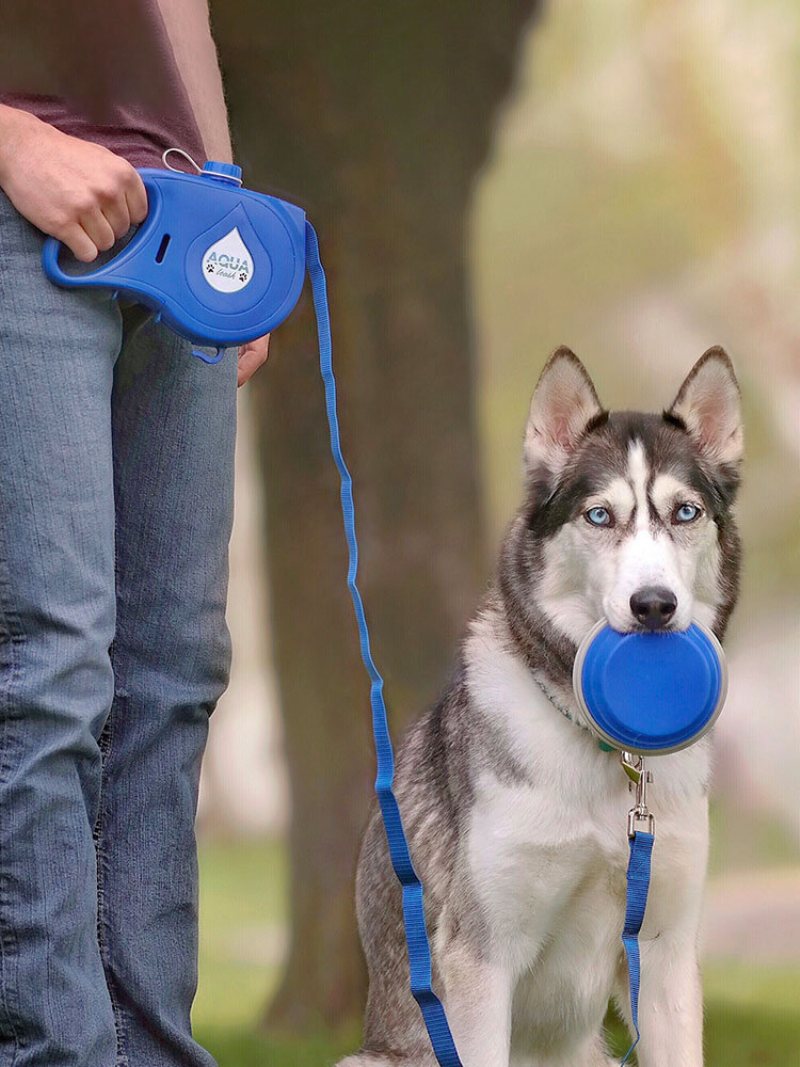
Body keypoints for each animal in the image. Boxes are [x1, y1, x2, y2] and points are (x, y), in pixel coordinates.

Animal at [339, 345, 746, 1062]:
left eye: (685, 513)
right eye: (600, 515)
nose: (654, 606)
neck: (613, 761)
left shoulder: (665, 955)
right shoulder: (481, 957)